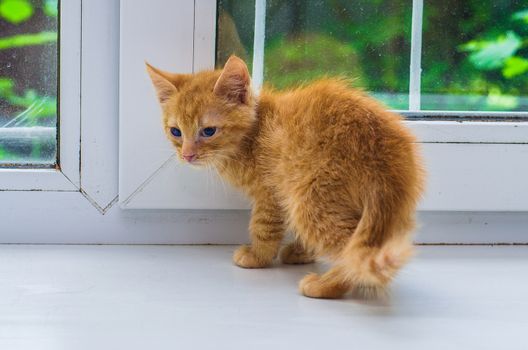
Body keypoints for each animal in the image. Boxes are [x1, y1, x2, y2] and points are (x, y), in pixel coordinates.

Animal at [146, 56, 426, 300]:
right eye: (176, 132)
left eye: (208, 131)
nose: (187, 155)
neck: (253, 135)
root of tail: (383, 151)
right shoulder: (286, 187)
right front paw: (302, 252)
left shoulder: (271, 191)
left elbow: (264, 226)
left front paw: (258, 256)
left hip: (312, 197)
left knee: (350, 248)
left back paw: (326, 286)